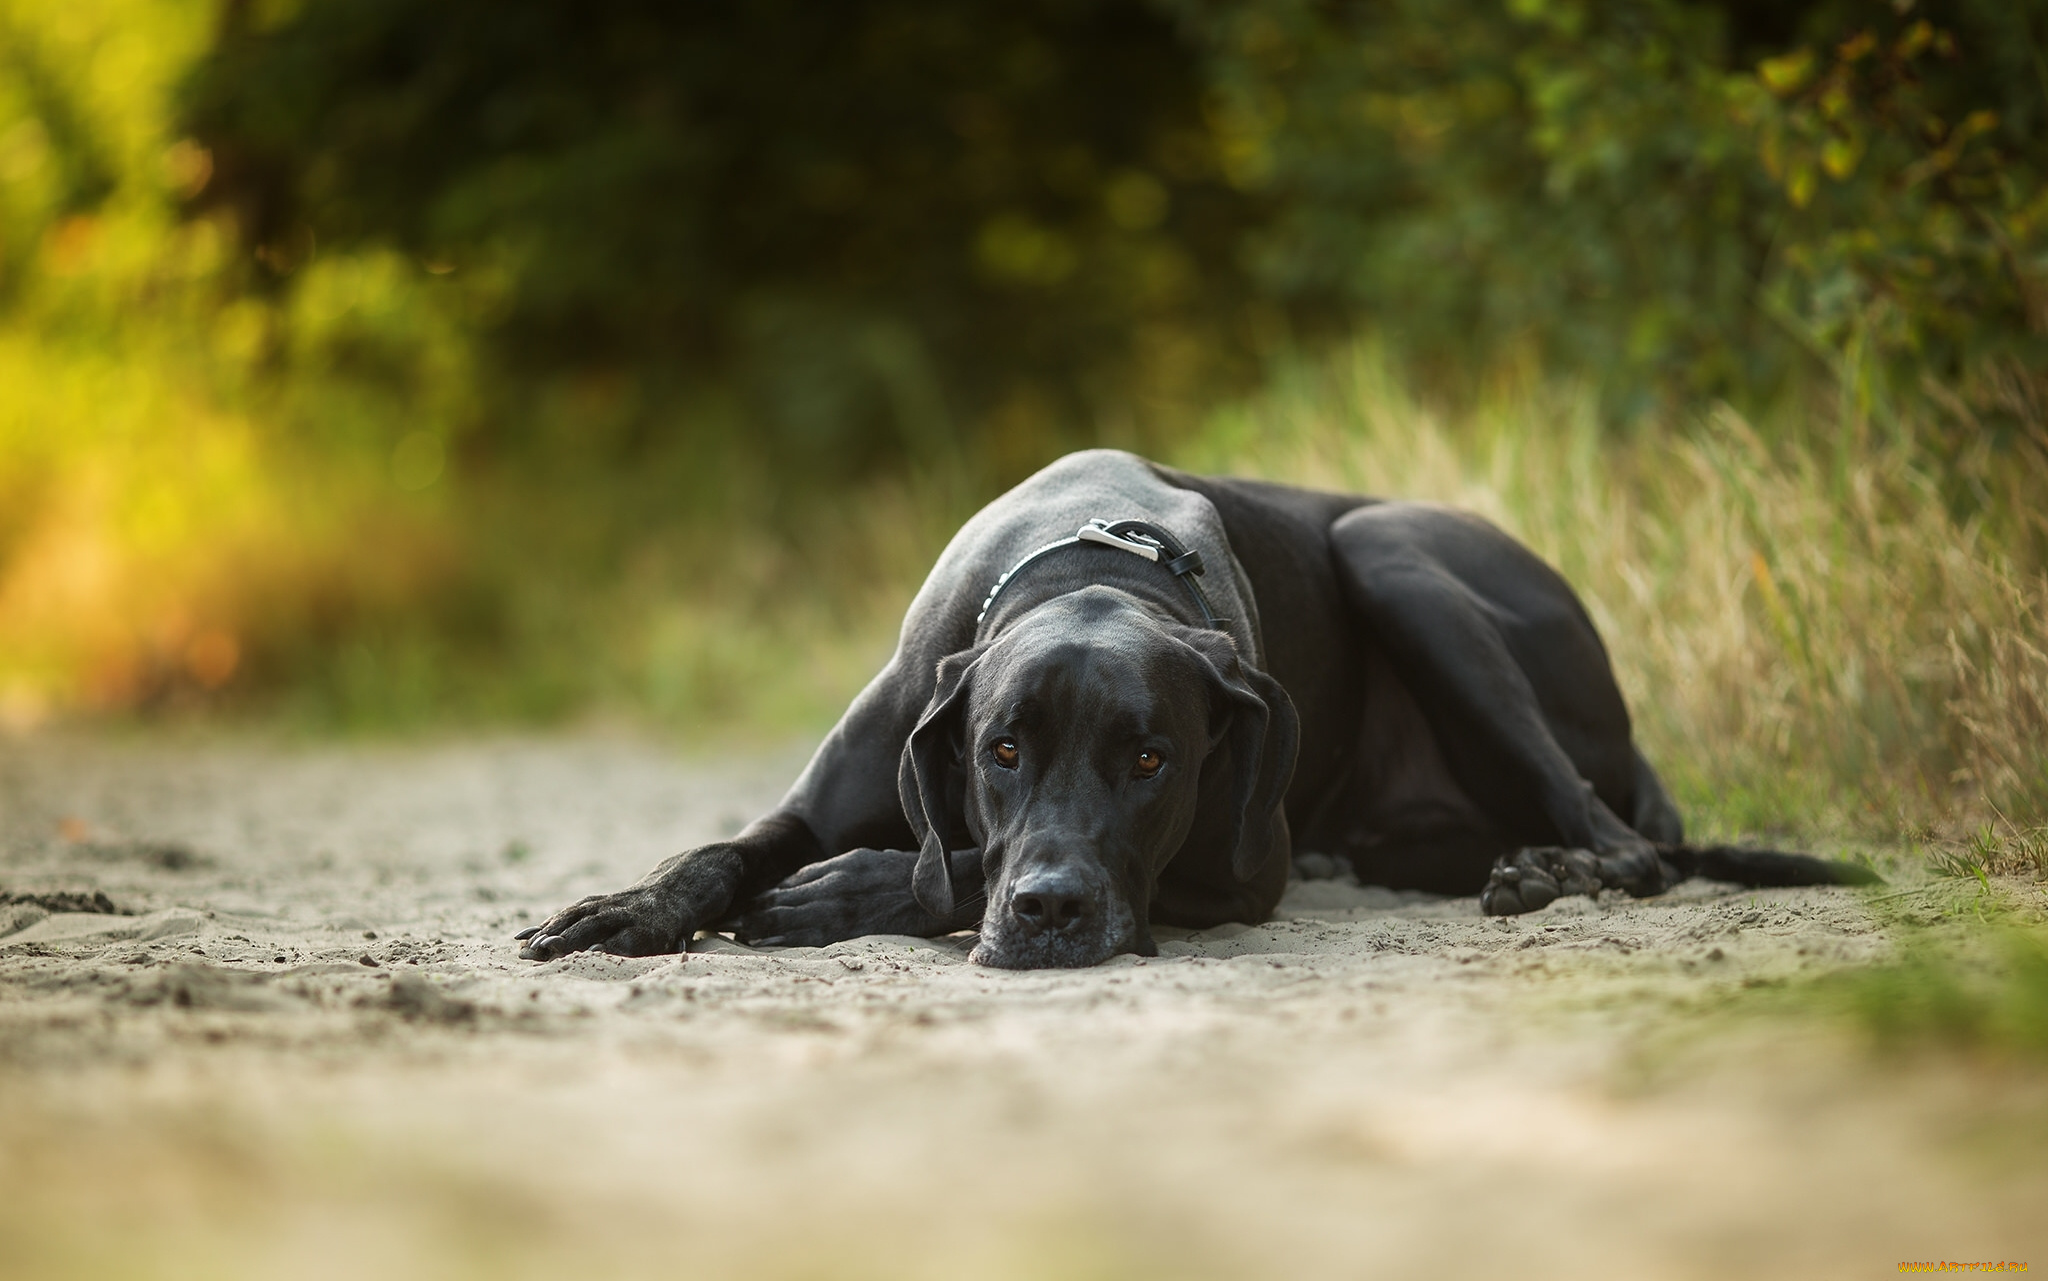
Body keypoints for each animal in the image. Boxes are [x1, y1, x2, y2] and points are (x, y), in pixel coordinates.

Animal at [520, 455, 1875, 963]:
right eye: (998, 749)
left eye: (1152, 761)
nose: (1052, 914)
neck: (1090, 564)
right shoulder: (830, 786)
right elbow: (721, 851)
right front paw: (626, 907)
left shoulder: (1235, 868)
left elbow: (933, 870)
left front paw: (850, 891)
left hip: (1395, 553)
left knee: (1629, 845)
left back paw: (1556, 866)